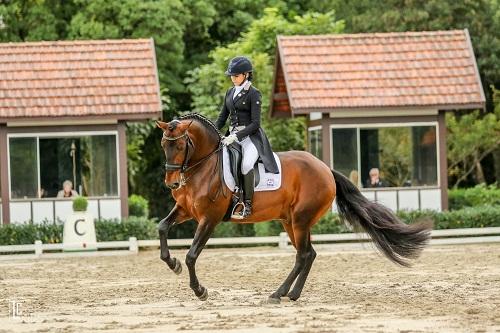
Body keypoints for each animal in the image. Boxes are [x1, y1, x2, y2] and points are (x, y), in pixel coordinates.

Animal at [155, 113, 430, 302]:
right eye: (163, 145)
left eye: (180, 146)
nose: (172, 183)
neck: (204, 166)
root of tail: (325, 169)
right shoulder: (186, 210)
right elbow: (162, 228)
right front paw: (172, 263)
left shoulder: (209, 218)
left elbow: (192, 255)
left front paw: (199, 290)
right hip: (290, 221)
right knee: (309, 254)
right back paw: (289, 293)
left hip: (300, 220)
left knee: (303, 255)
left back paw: (281, 293)